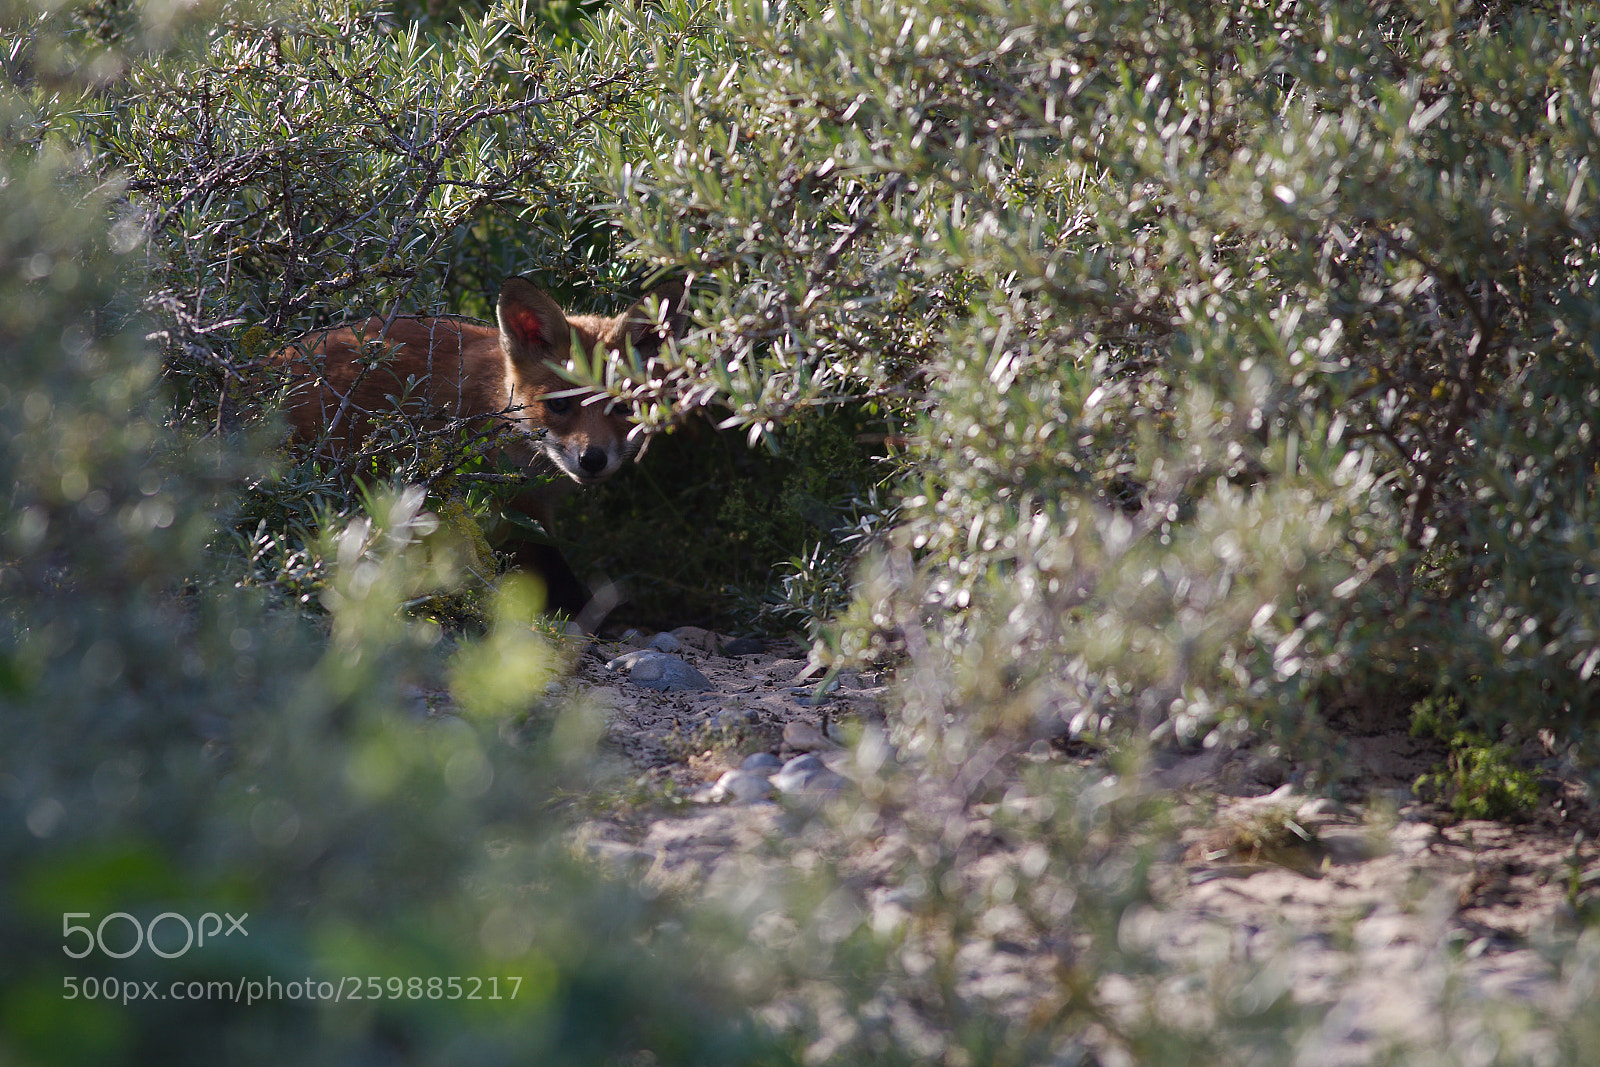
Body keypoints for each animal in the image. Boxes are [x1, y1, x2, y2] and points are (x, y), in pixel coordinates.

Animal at [271, 276, 684, 612]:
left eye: (623, 405)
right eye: (559, 405)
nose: (592, 459)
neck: (500, 407)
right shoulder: (508, 507)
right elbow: (557, 577)